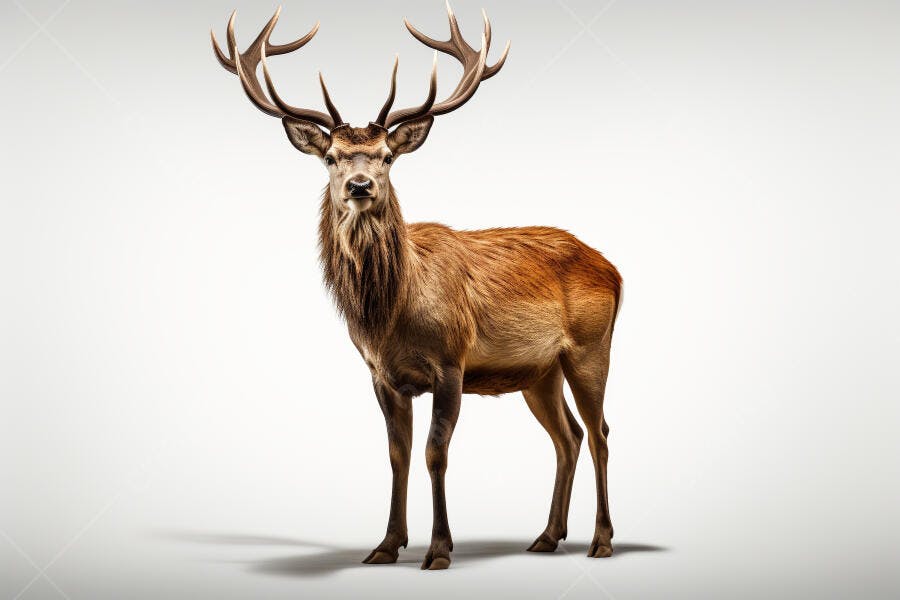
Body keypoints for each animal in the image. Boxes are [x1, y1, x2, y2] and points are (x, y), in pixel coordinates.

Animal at [211, 3, 622, 570]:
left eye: (387, 155)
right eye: (332, 157)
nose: (360, 186)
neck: (390, 316)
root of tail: (615, 270)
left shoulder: (451, 362)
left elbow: (435, 452)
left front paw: (439, 549)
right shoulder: (381, 375)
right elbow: (396, 454)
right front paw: (386, 545)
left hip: (590, 347)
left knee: (601, 432)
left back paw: (602, 540)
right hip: (540, 371)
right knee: (569, 436)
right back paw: (547, 536)